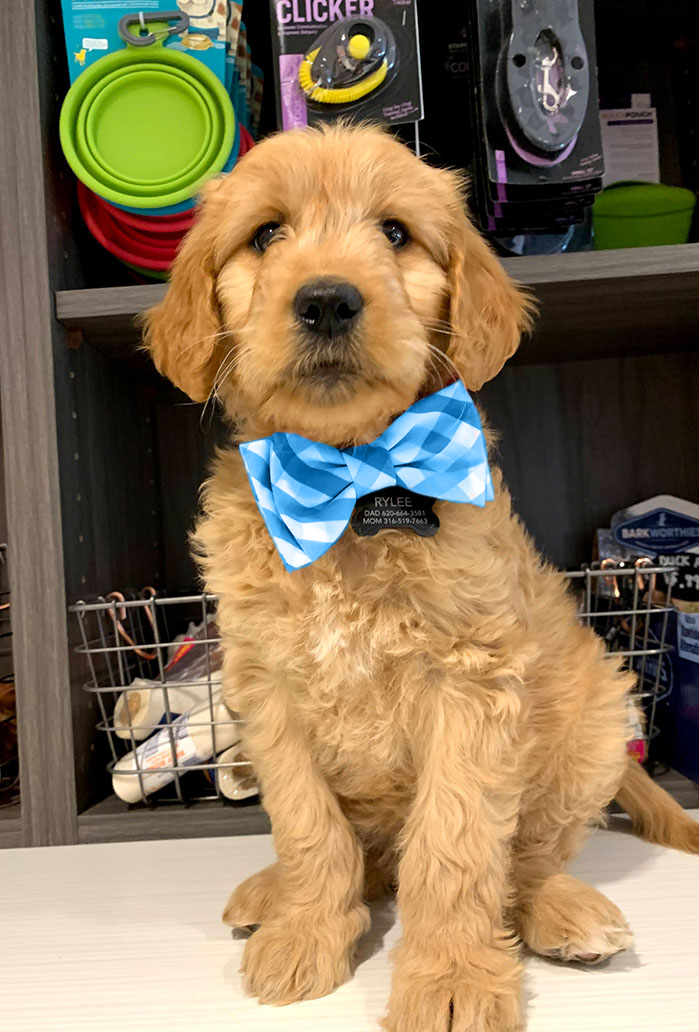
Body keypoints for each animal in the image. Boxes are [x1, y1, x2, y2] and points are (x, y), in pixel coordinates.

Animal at [145, 124, 699, 1032]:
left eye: (396, 233)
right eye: (266, 235)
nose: (326, 300)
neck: (348, 479)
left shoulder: (470, 688)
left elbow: (456, 848)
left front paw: (449, 979)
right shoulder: (269, 695)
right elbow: (307, 830)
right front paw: (308, 929)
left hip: (588, 720)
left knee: (526, 859)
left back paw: (565, 911)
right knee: (368, 859)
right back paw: (271, 895)